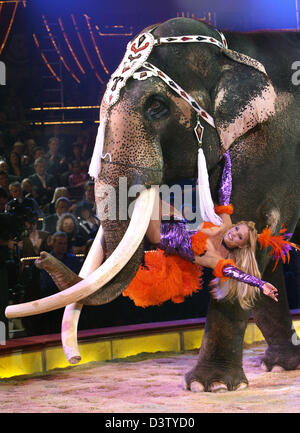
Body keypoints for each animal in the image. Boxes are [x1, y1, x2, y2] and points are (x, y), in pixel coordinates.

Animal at [5, 16, 300, 390]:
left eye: (156, 106)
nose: (41, 257)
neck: (232, 47)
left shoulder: (269, 144)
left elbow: (259, 227)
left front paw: (210, 385)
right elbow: (267, 248)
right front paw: (279, 365)